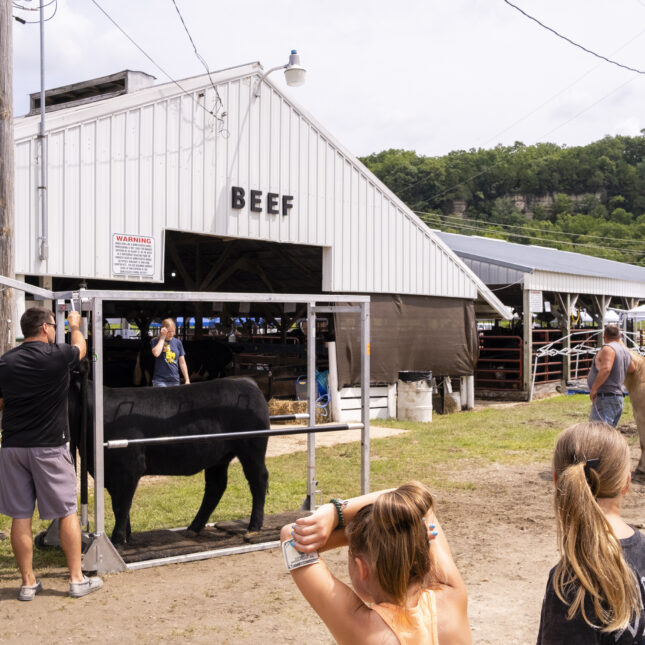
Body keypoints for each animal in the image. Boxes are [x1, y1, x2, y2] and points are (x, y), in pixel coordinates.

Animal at [69, 370, 270, 544]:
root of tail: (246, 381)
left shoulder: (129, 468)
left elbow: (122, 505)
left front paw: (118, 539)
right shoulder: (111, 474)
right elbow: (118, 504)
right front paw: (127, 535)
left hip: (252, 449)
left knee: (258, 480)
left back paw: (253, 527)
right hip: (218, 458)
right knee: (216, 486)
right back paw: (194, 527)